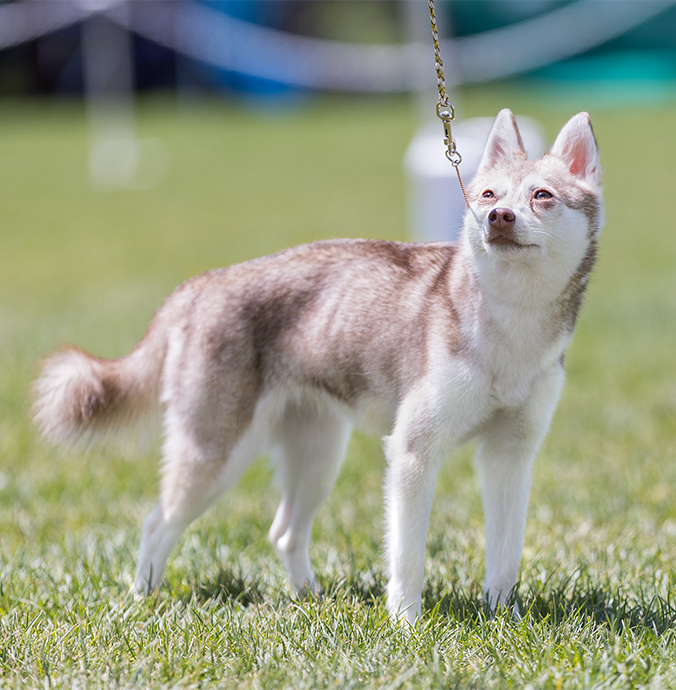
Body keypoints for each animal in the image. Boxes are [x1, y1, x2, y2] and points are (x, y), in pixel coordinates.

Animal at [33, 109, 602, 623]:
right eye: (488, 195)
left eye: (542, 195)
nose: (498, 217)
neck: (511, 325)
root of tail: (202, 282)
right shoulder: (413, 454)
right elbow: (407, 558)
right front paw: (406, 625)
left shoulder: (510, 456)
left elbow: (505, 556)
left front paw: (504, 617)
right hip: (215, 456)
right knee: (156, 524)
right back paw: (142, 600)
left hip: (318, 454)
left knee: (283, 533)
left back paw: (310, 599)